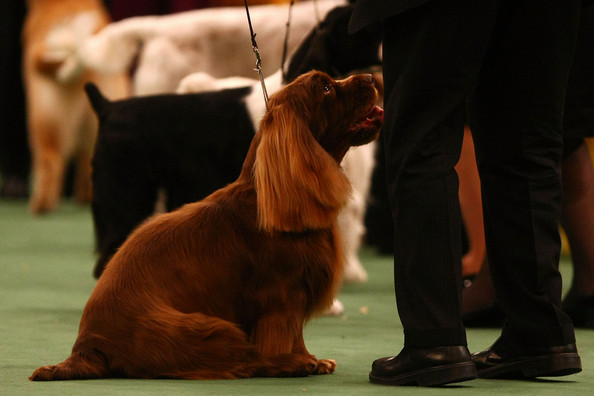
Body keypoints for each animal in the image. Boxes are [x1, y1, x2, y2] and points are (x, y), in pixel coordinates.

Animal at [30, 71, 384, 380]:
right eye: (326, 88)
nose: (371, 77)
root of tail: (87, 347)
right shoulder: (281, 296)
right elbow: (282, 333)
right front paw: (298, 360)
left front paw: (312, 359)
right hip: (210, 327)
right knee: (244, 360)